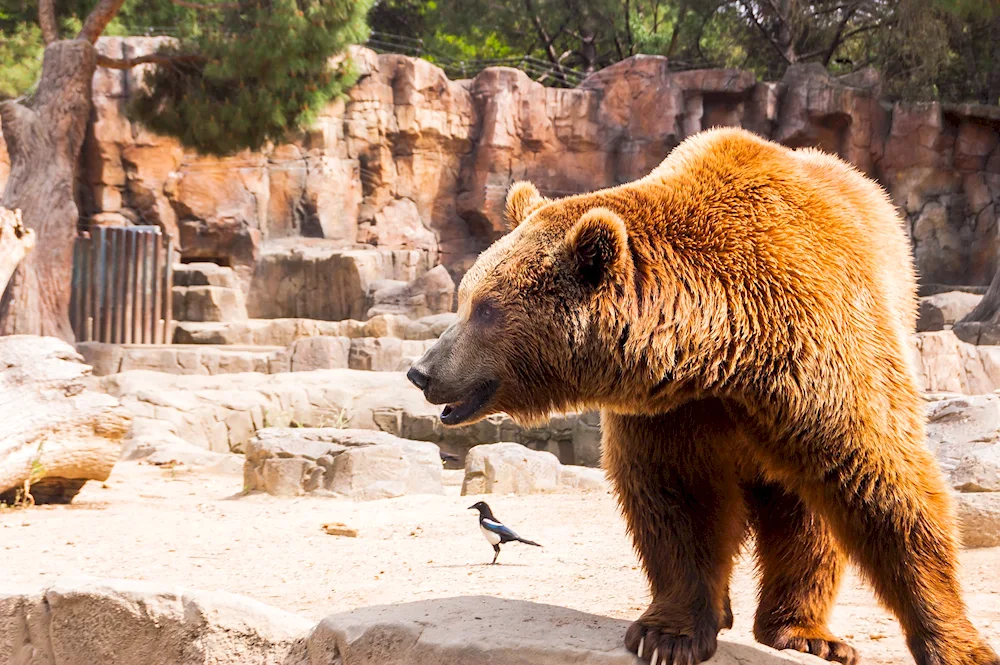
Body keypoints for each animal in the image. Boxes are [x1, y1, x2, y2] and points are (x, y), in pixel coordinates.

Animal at [408, 126, 1000, 664]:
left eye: (484, 308)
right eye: (465, 298)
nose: (421, 371)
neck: (724, 347)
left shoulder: (819, 356)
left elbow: (883, 481)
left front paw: (958, 645)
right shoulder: (671, 406)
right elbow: (679, 495)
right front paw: (668, 635)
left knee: (810, 515)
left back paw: (806, 632)